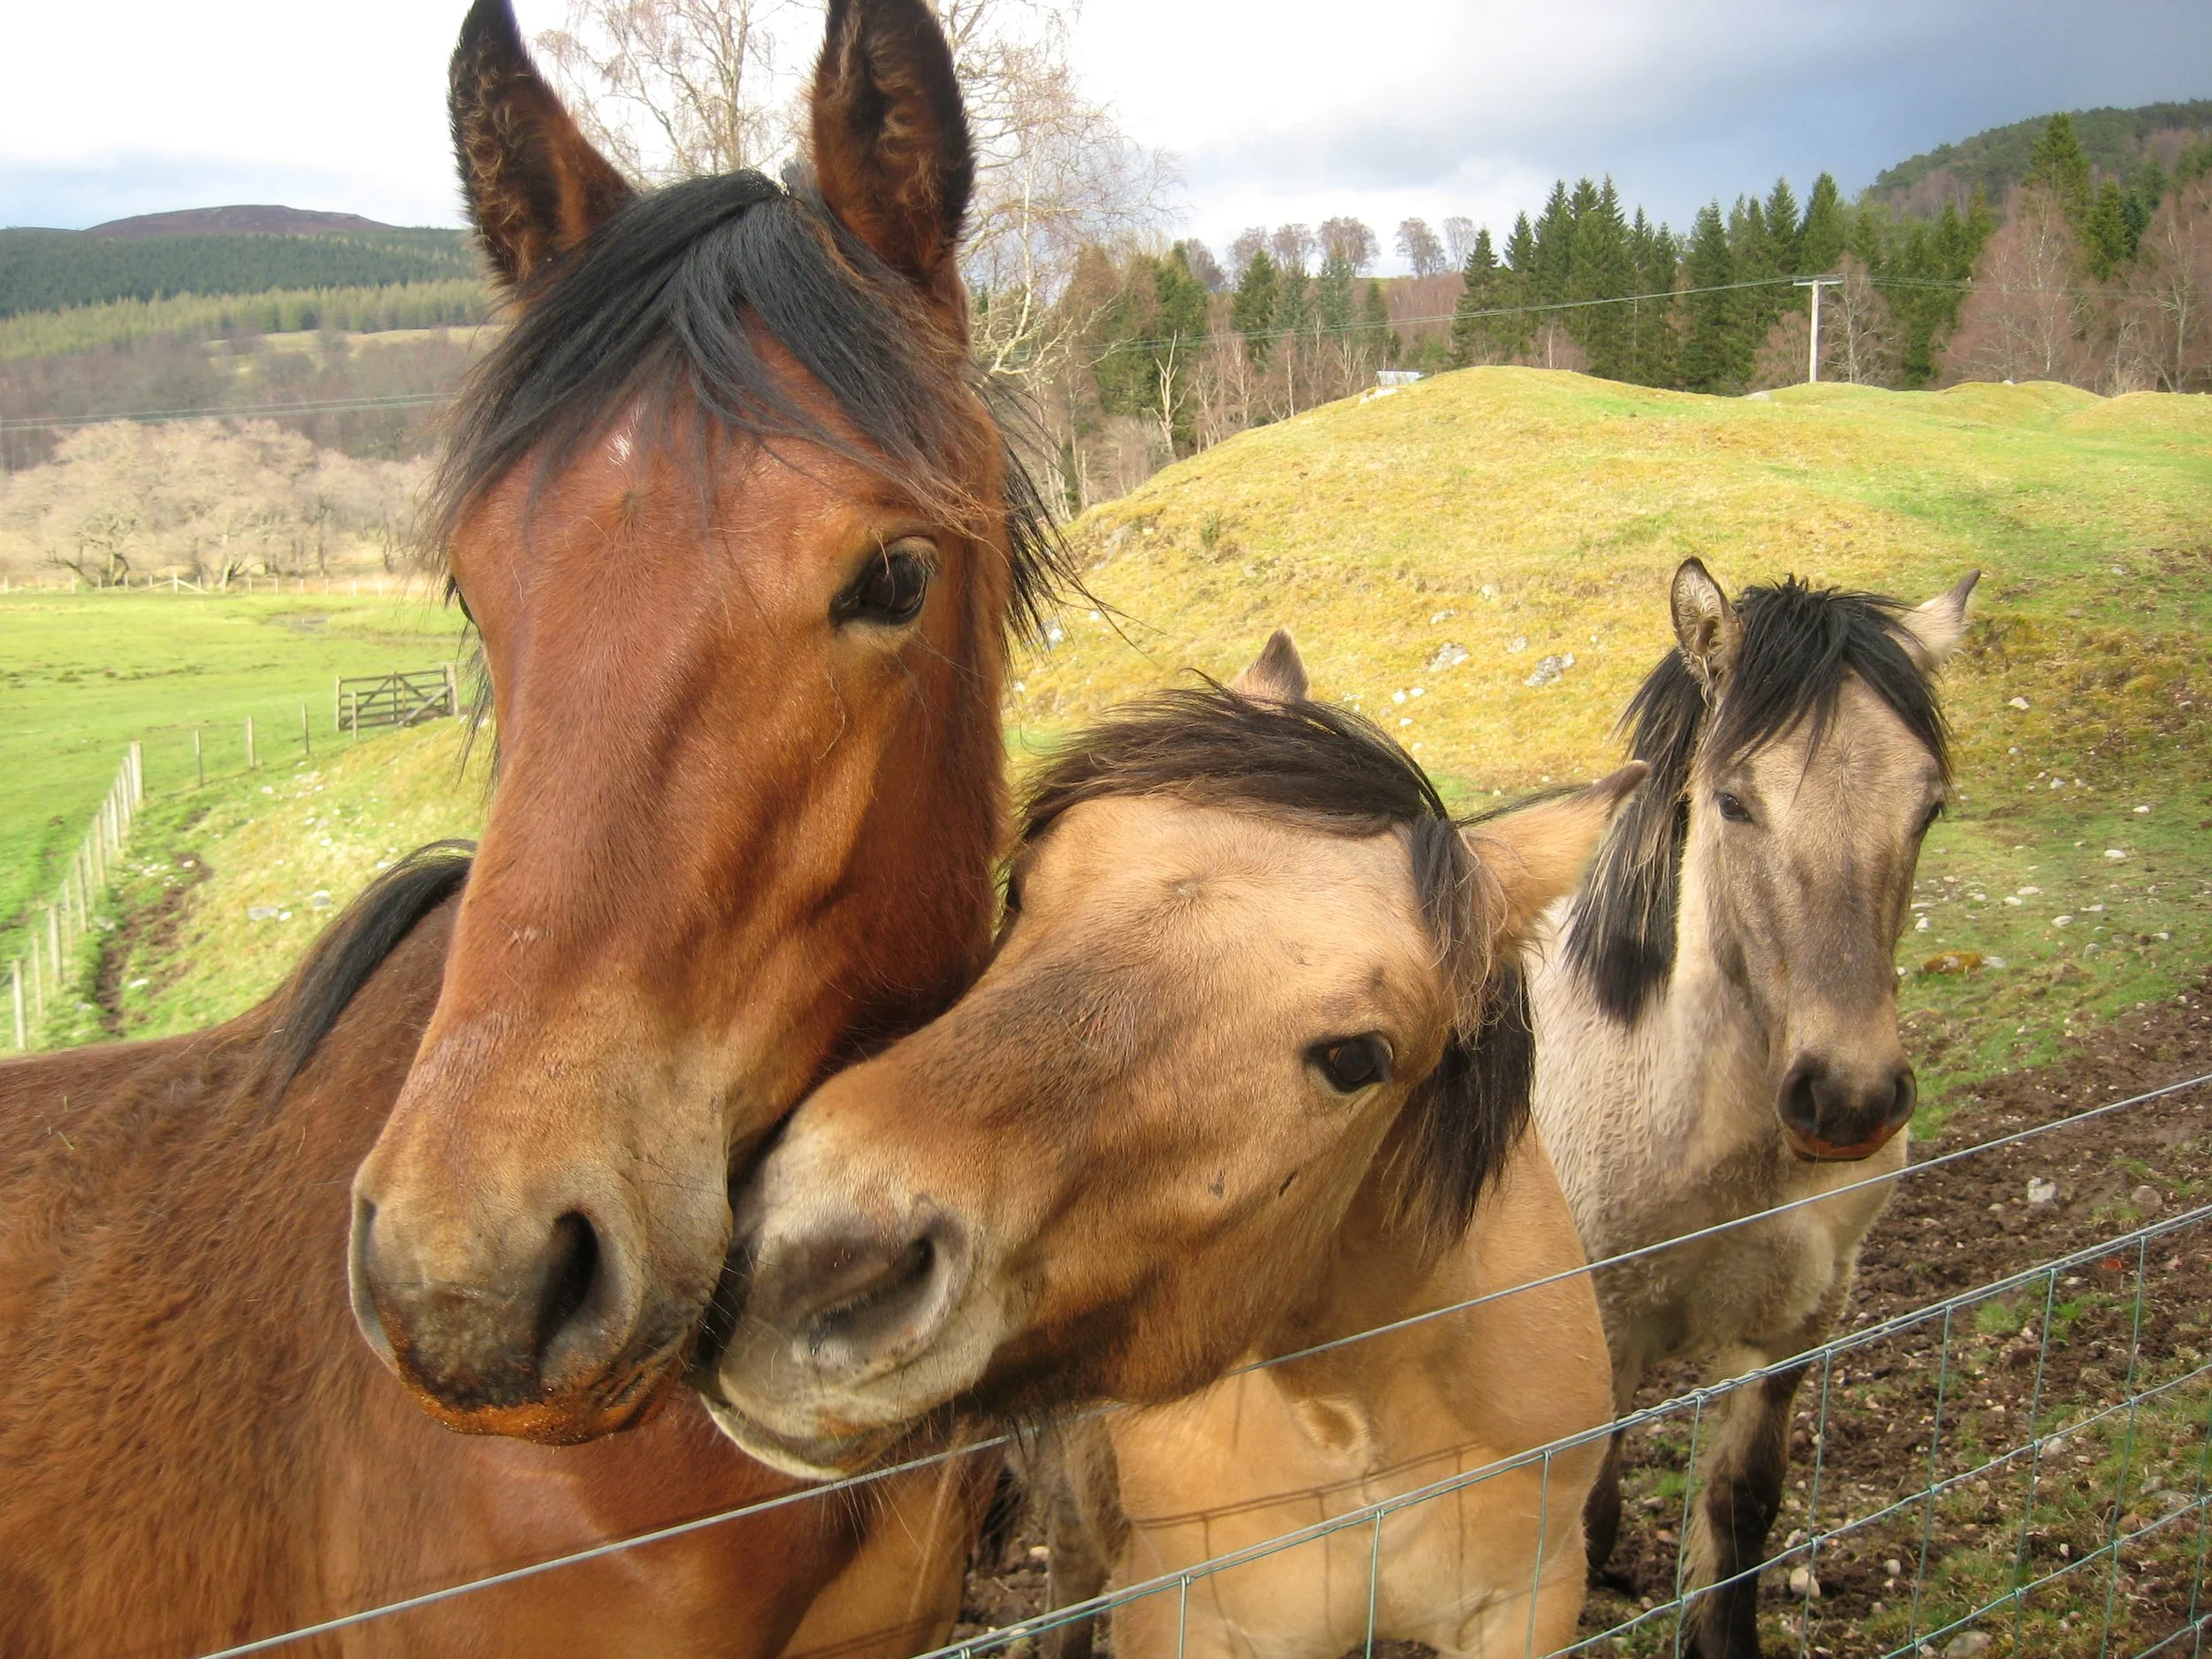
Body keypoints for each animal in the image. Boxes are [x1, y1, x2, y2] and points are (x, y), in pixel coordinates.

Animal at [696, 633, 1639, 1658]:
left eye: (1357, 1058)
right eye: (1024, 884)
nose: (803, 1265)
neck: (1359, 1424)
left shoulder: (1532, 1599)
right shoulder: (1179, 1606)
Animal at [1530, 559, 1976, 1659]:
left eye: (1928, 806)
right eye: (1733, 802)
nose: (1849, 1097)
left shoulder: (1800, 1324)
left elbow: (1742, 1509)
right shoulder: (1605, 1337)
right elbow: (1588, 1521)